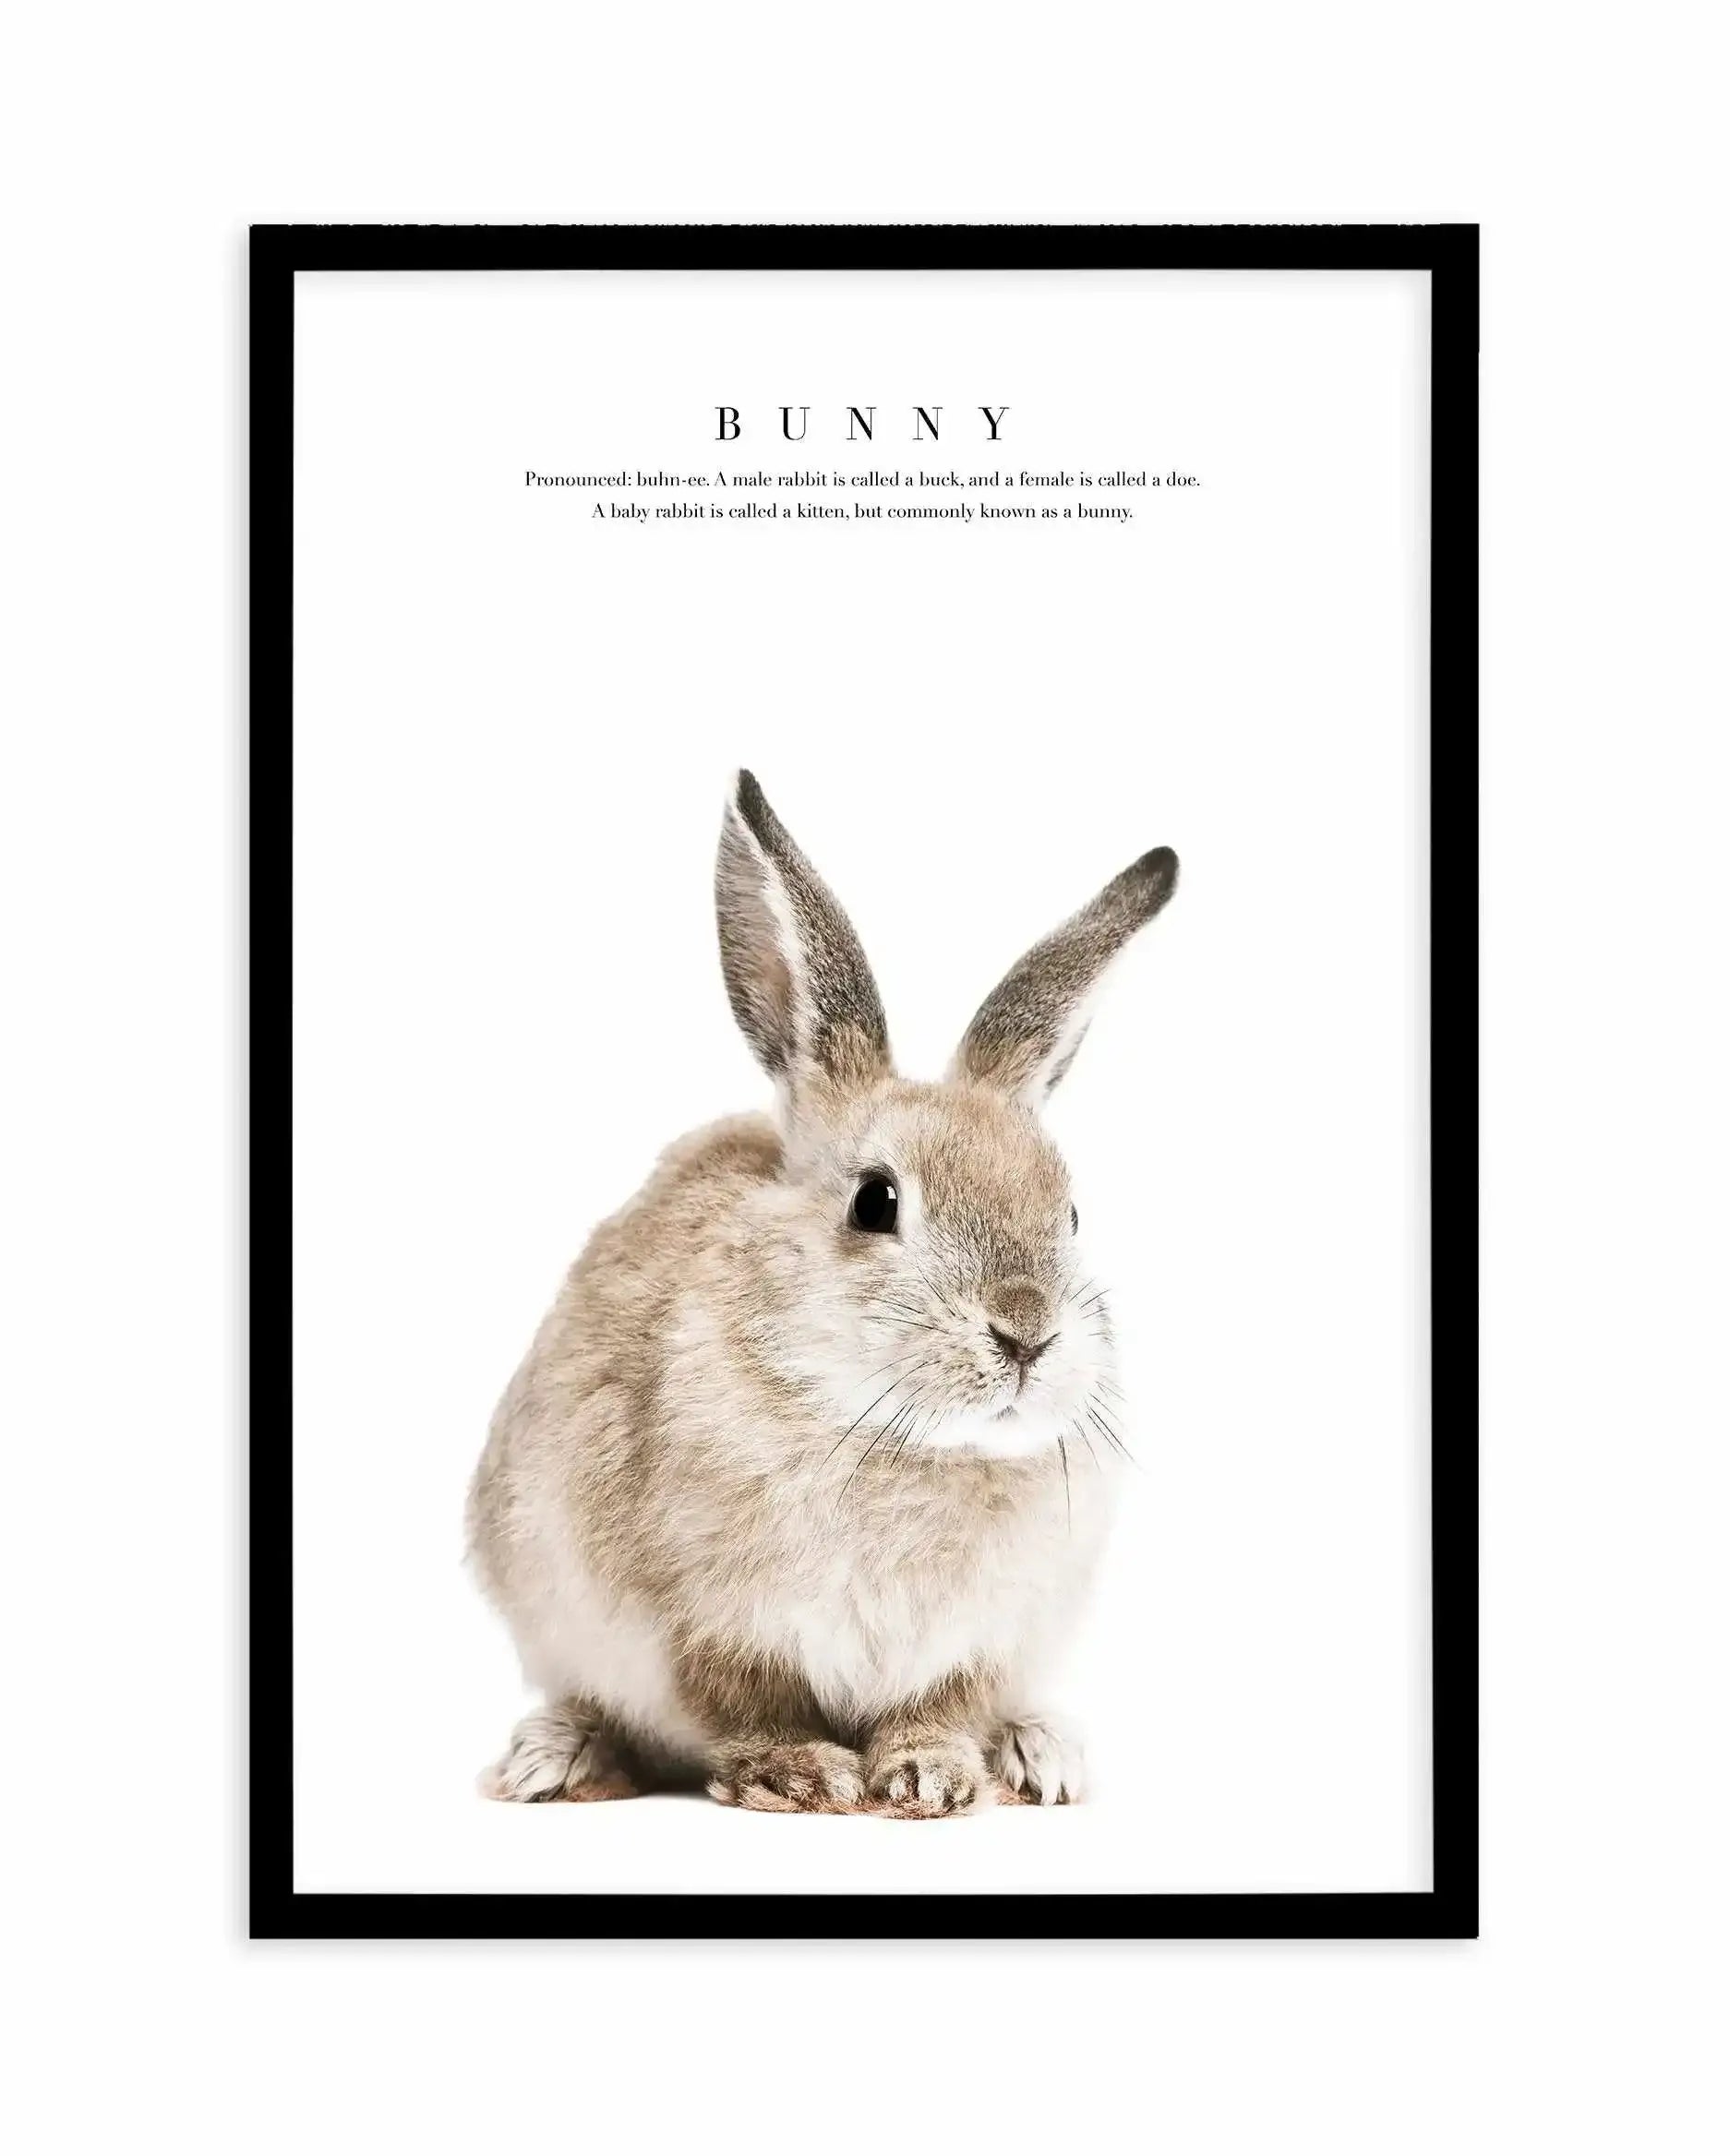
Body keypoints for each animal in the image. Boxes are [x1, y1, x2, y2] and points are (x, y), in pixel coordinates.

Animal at [466, 771, 1178, 1816]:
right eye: (876, 1200)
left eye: (1073, 1212)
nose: (1026, 1332)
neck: (897, 1438)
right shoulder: (700, 1626)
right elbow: (746, 1706)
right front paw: (801, 1772)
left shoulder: (979, 1642)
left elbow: (938, 1708)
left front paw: (932, 1775)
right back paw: (554, 1759)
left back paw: (1039, 1754)